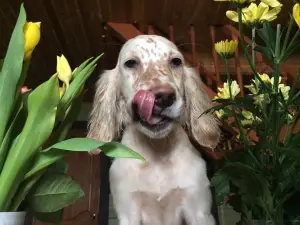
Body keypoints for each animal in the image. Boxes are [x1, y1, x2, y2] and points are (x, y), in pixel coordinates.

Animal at [86, 34, 220, 224]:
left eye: (176, 61)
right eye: (130, 63)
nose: (164, 97)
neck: (158, 153)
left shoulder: (199, 210)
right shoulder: (128, 212)